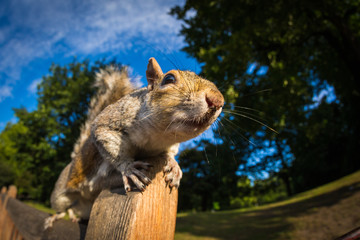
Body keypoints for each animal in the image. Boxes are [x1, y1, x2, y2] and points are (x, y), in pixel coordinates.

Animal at [43, 57, 224, 228]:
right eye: (169, 79)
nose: (217, 101)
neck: (161, 136)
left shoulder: (170, 144)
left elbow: (169, 153)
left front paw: (174, 166)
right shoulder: (109, 122)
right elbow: (106, 138)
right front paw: (129, 168)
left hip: (84, 207)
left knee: (74, 209)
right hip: (62, 191)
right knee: (61, 206)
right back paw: (56, 216)